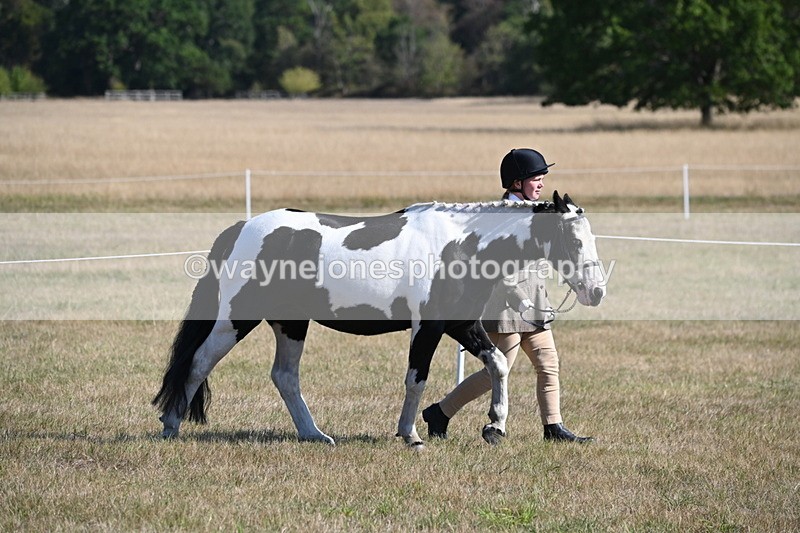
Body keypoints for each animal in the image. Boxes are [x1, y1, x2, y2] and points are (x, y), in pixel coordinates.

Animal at [153, 191, 606, 446]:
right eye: (573, 239)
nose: (596, 291)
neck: (461, 246)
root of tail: (242, 229)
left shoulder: (461, 325)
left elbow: (497, 363)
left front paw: (495, 426)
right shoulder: (429, 327)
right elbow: (416, 378)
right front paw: (411, 435)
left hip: (291, 324)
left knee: (284, 376)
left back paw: (314, 435)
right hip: (237, 319)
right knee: (199, 362)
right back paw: (171, 426)